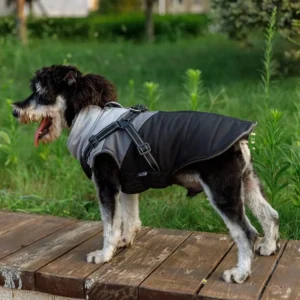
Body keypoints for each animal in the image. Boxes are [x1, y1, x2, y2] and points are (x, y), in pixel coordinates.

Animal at [11, 65, 278, 284]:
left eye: (41, 91)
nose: (15, 111)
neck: (91, 116)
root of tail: (242, 139)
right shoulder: (127, 184)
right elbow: (130, 218)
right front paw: (125, 240)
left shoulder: (106, 185)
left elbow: (109, 225)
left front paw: (104, 254)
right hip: (247, 183)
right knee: (270, 214)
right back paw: (268, 246)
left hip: (222, 192)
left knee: (246, 233)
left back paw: (240, 273)